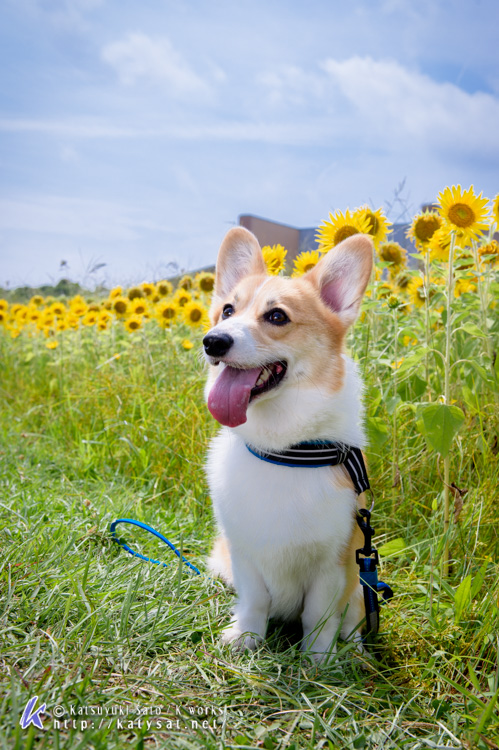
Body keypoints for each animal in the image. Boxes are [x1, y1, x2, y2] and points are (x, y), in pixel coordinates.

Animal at [203, 229, 372, 664]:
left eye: (277, 316)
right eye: (227, 311)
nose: (212, 341)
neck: (285, 452)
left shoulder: (334, 566)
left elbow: (319, 617)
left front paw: (319, 660)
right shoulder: (244, 554)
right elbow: (255, 602)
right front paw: (246, 637)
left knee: (356, 613)